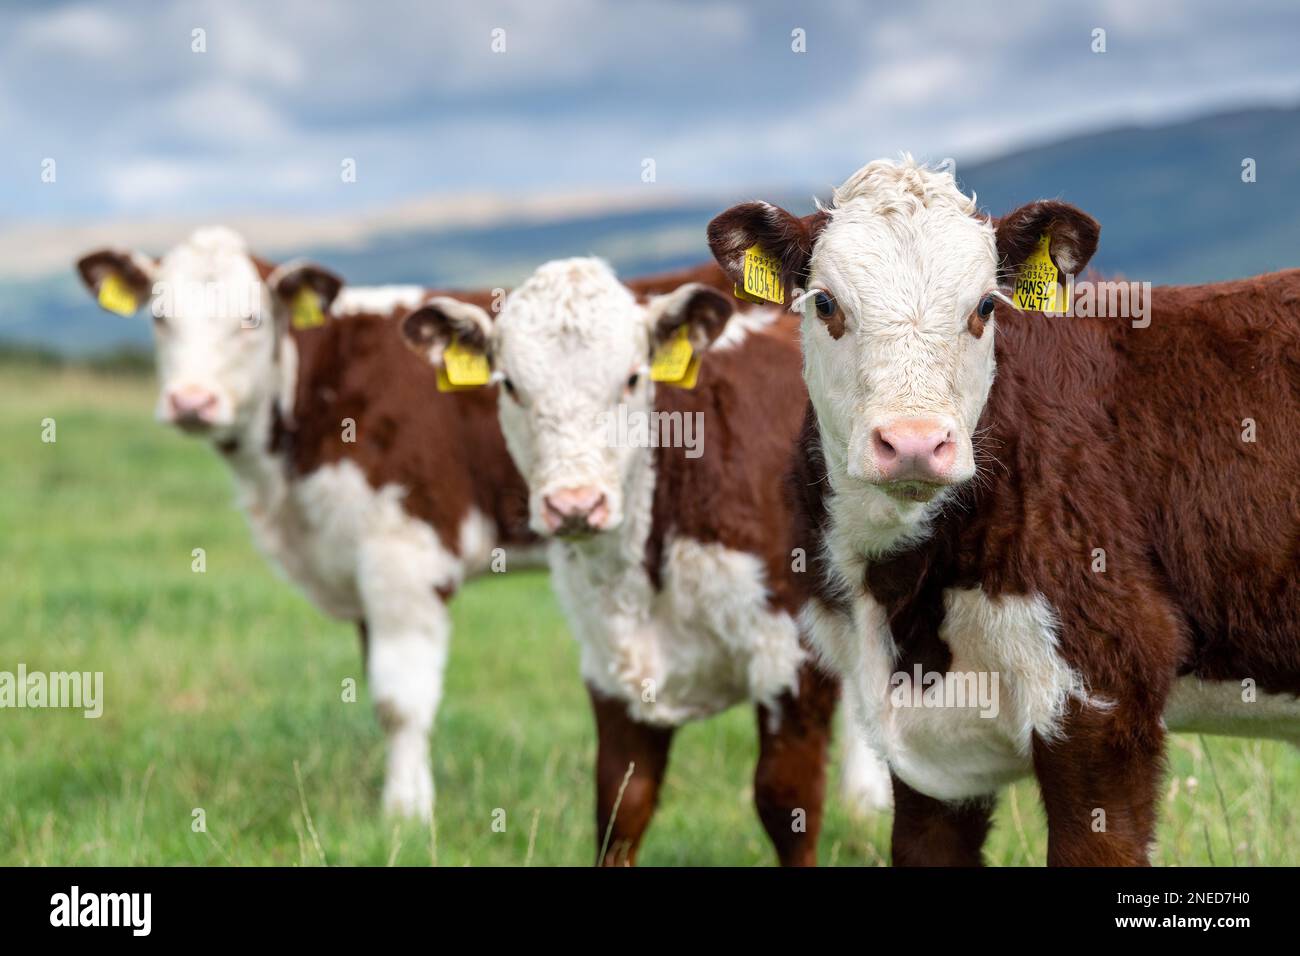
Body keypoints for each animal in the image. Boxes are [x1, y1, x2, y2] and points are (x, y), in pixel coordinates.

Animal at [75, 227, 537, 821]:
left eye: (252, 318)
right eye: (159, 316)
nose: (191, 401)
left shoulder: (405, 555)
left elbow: (401, 703)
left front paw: (405, 815)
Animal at [397, 257, 892, 864]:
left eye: (632, 379)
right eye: (510, 385)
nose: (575, 504)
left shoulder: (794, 659)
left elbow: (786, 802)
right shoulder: (612, 665)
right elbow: (622, 803)